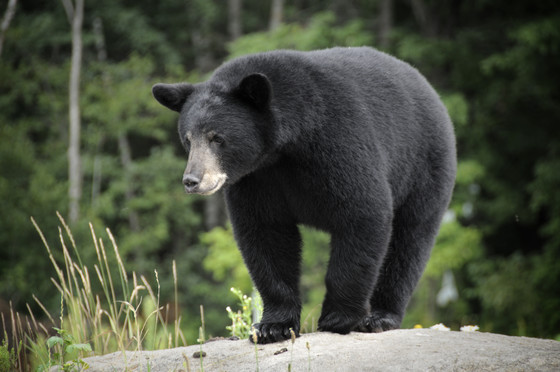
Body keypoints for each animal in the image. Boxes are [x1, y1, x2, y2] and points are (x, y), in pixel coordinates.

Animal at [152, 46, 456, 342]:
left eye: (217, 138)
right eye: (188, 139)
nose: (192, 180)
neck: (286, 147)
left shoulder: (339, 141)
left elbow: (363, 212)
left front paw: (338, 318)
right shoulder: (258, 179)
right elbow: (266, 234)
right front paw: (273, 326)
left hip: (424, 167)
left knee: (409, 242)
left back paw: (380, 317)